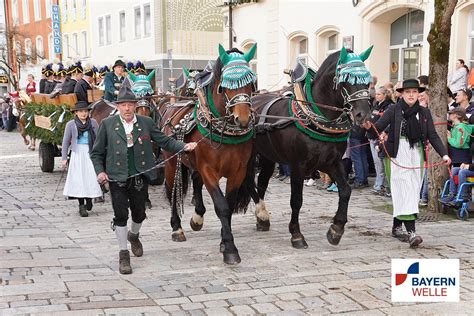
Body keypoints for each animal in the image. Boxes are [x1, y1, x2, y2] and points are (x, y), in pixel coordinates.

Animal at [161, 44, 258, 266]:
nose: (242, 119)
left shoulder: (237, 172)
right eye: (224, 86)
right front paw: (230, 249)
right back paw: (176, 228)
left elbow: (229, 206)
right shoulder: (208, 170)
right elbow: (221, 206)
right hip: (170, 163)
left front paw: (224, 241)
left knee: (195, 183)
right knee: (172, 190)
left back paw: (197, 218)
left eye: (251, 84)